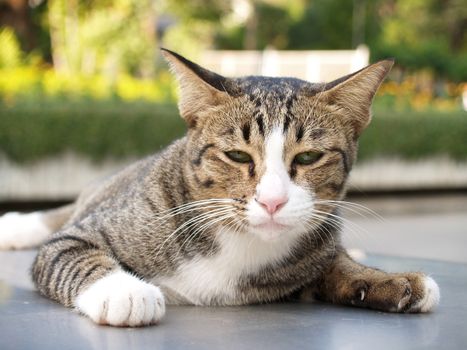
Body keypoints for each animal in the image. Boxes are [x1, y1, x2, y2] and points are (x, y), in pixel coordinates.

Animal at [0, 48, 438, 326]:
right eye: (238, 156)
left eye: (309, 158)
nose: (273, 201)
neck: (237, 240)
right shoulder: (81, 234)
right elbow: (72, 251)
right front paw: (123, 291)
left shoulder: (316, 252)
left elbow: (336, 264)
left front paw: (387, 280)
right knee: (62, 215)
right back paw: (15, 226)